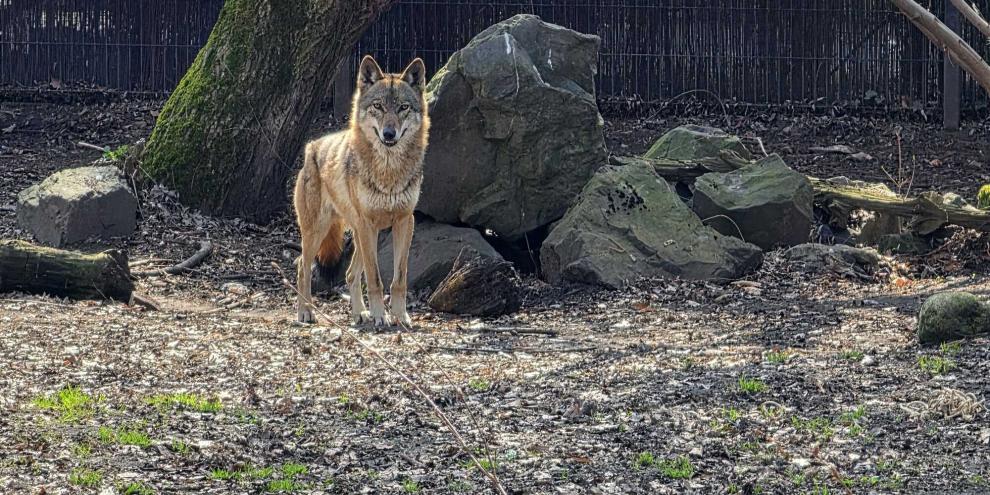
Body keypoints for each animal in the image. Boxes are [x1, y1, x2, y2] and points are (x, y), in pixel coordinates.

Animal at [293, 55, 429, 326]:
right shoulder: (369, 224)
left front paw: (400, 316)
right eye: (378, 106)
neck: (389, 171)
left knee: (348, 274)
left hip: (360, 233)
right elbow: (375, 278)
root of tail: (312, 146)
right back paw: (306, 312)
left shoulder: (404, 222)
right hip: (320, 231)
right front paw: (380, 316)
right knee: (302, 266)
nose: (389, 133)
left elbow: (399, 279)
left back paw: (359, 313)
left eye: (403, 108)